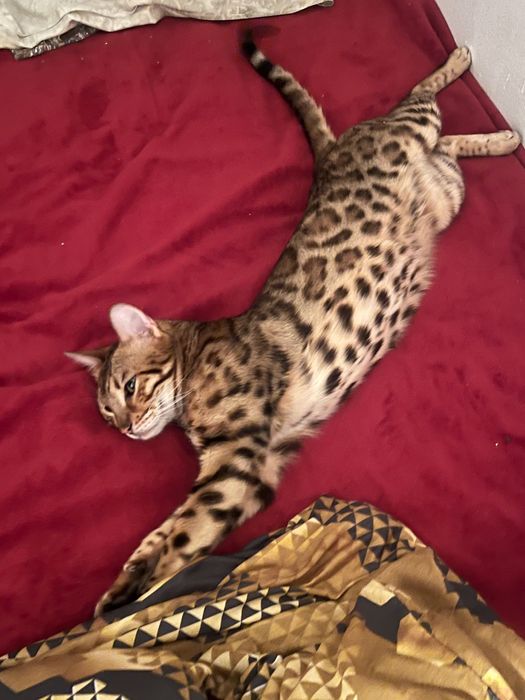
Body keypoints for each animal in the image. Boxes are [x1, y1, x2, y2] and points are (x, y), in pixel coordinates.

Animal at [67, 33, 520, 615]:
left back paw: (460, 66)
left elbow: (183, 535)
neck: (193, 373)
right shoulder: (257, 466)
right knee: (449, 146)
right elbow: (161, 535)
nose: (125, 427)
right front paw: (124, 586)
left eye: (130, 386)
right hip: (448, 193)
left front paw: (137, 599)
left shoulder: (237, 459)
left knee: (417, 100)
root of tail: (326, 158)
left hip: (411, 133)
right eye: (106, 412)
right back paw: (502, 137)